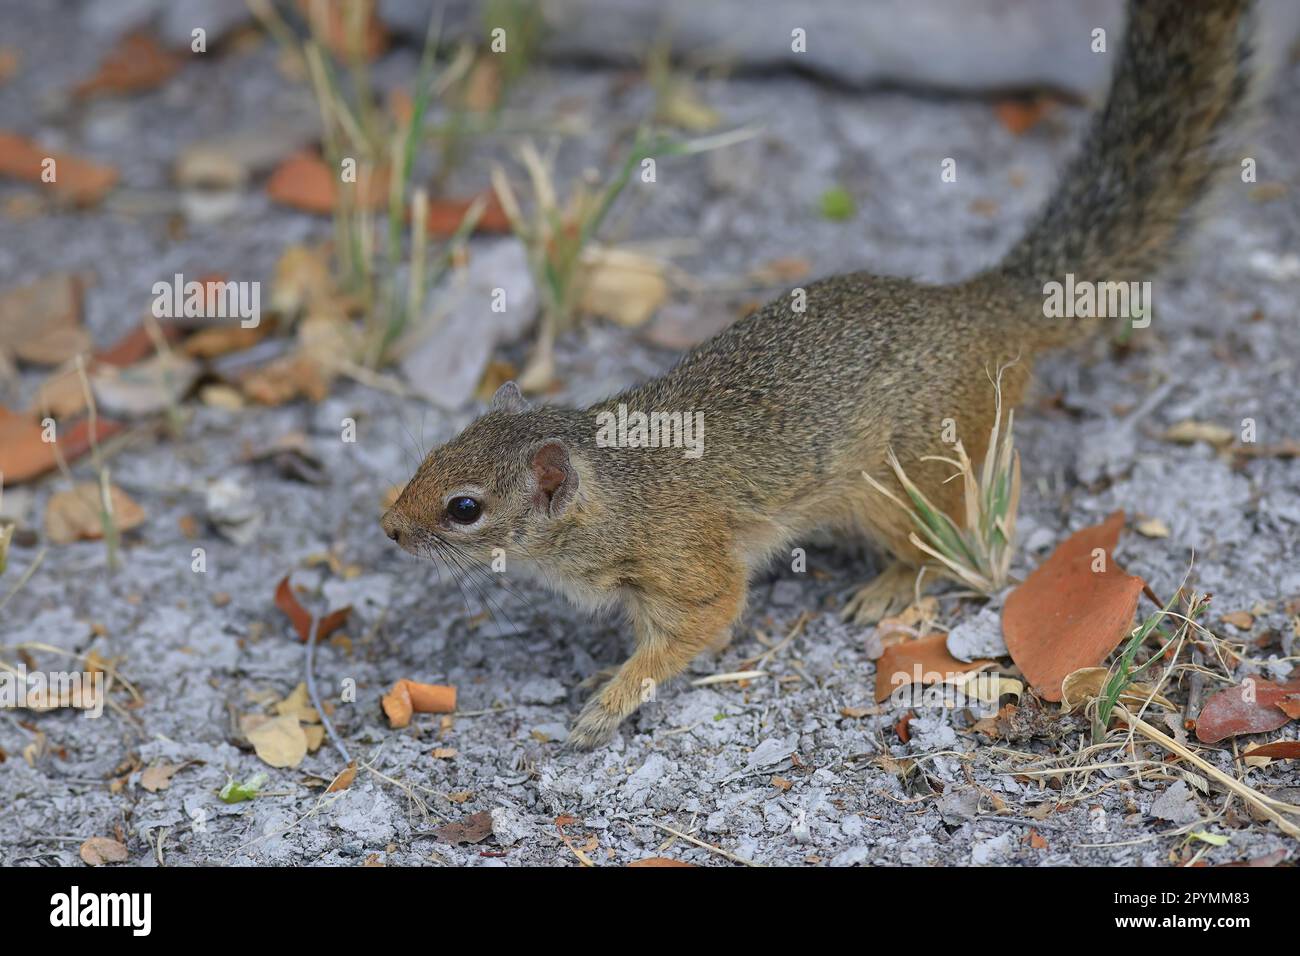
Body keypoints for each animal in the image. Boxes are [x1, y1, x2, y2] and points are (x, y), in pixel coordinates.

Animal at [382, 0, 1257, 749]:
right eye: (430, 458)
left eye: (465, 509)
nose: (387, 528)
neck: (616, 488)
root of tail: (981, 310)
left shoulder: (690, 568)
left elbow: (697, 630)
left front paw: (607, 705)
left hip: (904, 485)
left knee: (954, 536)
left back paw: (891, 586)